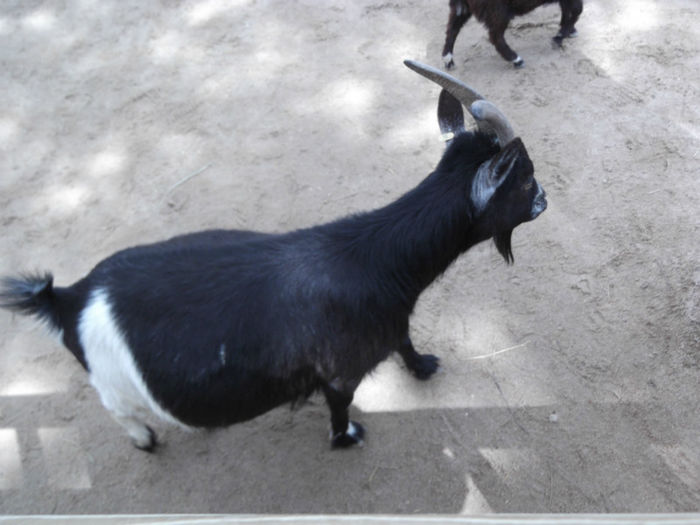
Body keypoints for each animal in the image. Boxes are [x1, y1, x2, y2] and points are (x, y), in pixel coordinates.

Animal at [0, 61, 548, 452]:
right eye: (524, 180)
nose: (544, 201)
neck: (369, 260)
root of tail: (70, 299)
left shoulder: (391, 321)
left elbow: (405, 339)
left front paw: (423, 366)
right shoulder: (340, 371)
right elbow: (341, 404)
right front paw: (347, 437)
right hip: (114, 382)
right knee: (121, 411)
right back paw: (144, 441)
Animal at [442, 0, 584, 68]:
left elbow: (568, 10)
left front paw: (569, 31)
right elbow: (577, 10)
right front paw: (559, 37)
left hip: (464, 8)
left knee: (452, 29)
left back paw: (448, 61)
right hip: (498, 11)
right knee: (495, 36)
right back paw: (516, 60)